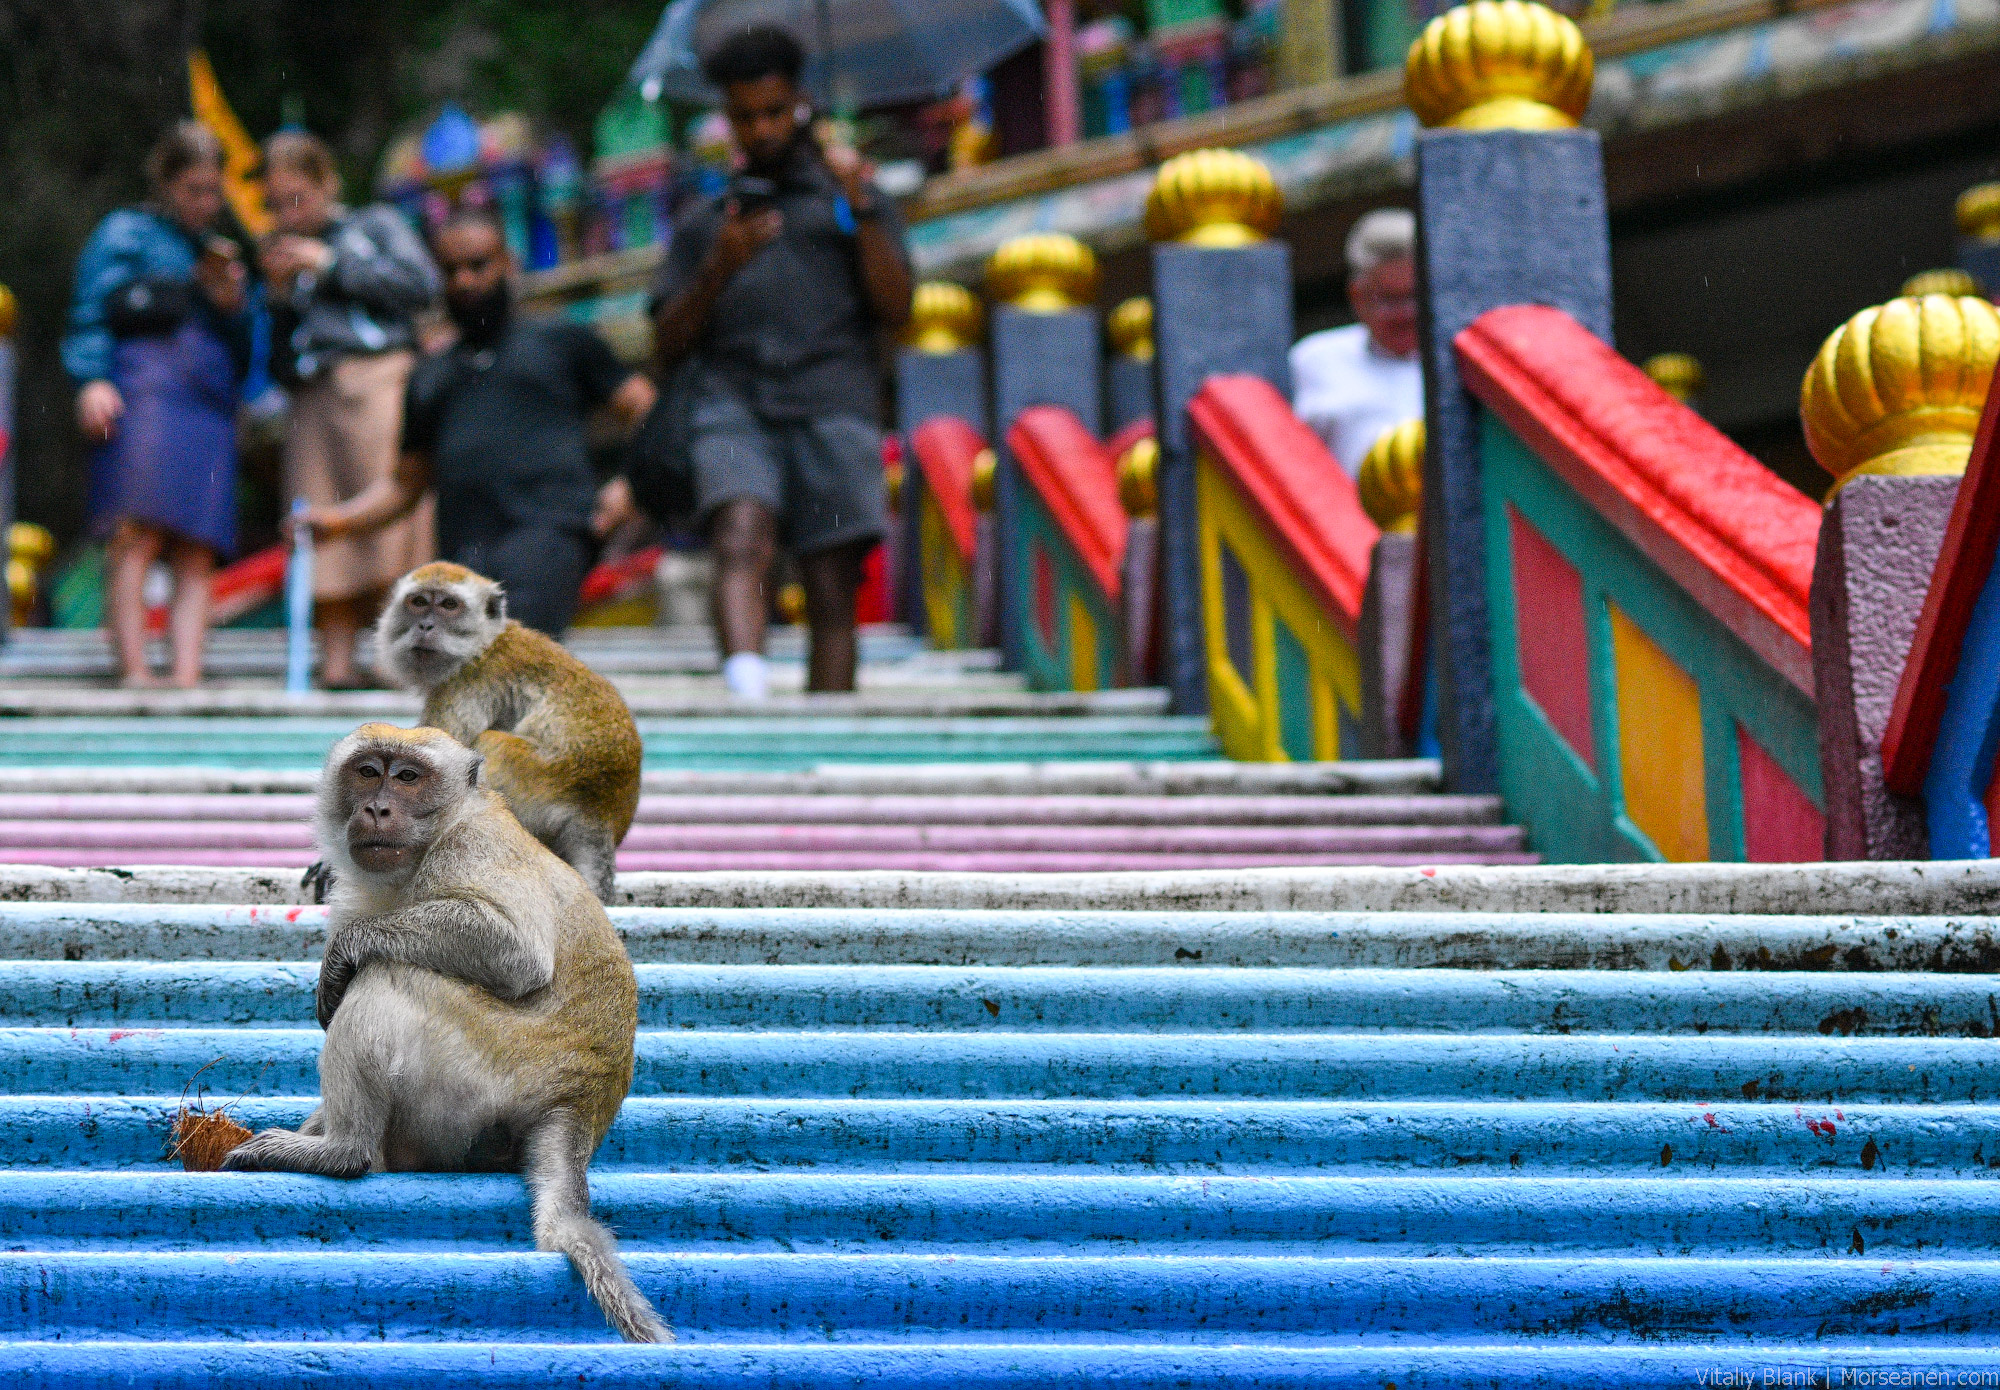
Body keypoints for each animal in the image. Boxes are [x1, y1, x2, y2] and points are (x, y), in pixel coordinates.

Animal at [223, 728, 668, 1352]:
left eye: (409, 778)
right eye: (368, 772)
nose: (377, 809)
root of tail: (578, 1106)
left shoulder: (472, 850)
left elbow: (514, 950)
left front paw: (344, 951)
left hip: (483, 1070)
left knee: (387, 975)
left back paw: (342, 1151)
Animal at [376, 564, 640, 904]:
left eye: (449, 605)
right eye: (419, 602)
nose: (425, 625)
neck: (484, 643)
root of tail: (600, 813)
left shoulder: (465, 683)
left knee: (492, 743)